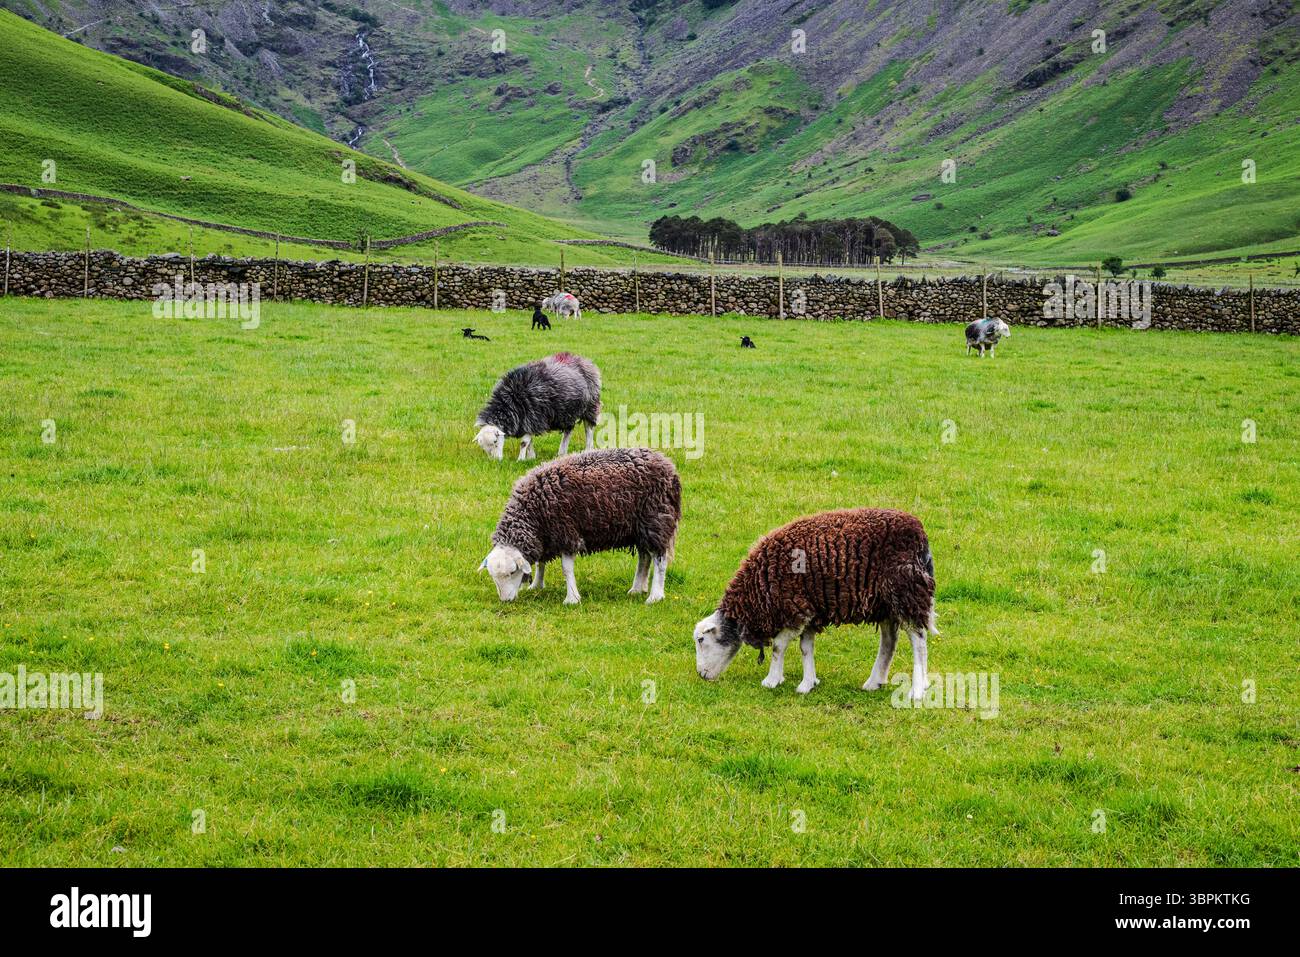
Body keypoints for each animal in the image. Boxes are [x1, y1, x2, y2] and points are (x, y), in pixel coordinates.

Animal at [480, 448, 681, 605]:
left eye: (512, 572)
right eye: (493, 577)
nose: (505, 601)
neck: (532, 513)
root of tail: (668, 465)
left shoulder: (566, 532)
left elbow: (566, 569)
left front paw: (572, 599)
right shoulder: (545, 535)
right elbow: (540, 562)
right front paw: (536, 585)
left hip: (656, 520)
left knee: (660, 560)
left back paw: (655, 596)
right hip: (639, 529)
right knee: (644, 558)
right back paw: (637, 589)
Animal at [693, 508, 938, 699]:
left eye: (701, 640)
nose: (700, 675)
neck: (755, 593)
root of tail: (920, 535)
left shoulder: (795, 609)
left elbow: (778, 646)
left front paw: (772, 680)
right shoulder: (809, 609)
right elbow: (805, 648)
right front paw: (807, 683)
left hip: (906, 591)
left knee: (919, 641)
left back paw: (918, 689)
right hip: (884, 603)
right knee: (889, 640)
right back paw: (875, 682)